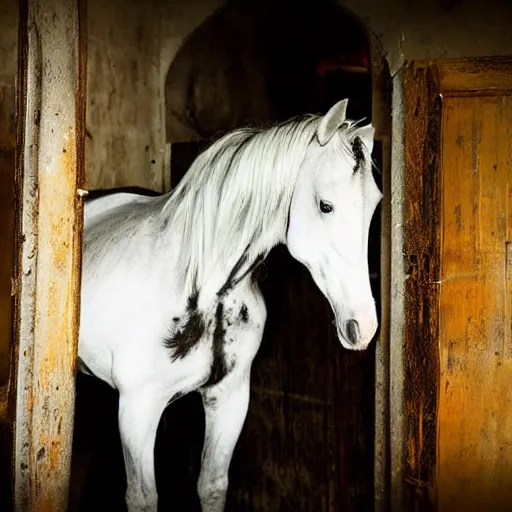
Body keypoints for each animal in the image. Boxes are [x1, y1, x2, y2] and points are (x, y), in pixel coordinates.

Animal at [78, 98, 382, 510]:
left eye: (375, 205)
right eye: (325, 205)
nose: (362, 326)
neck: (206, 290)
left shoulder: (229, 398)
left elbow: (211, 485)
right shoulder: (137, 408)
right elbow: (143, 496)